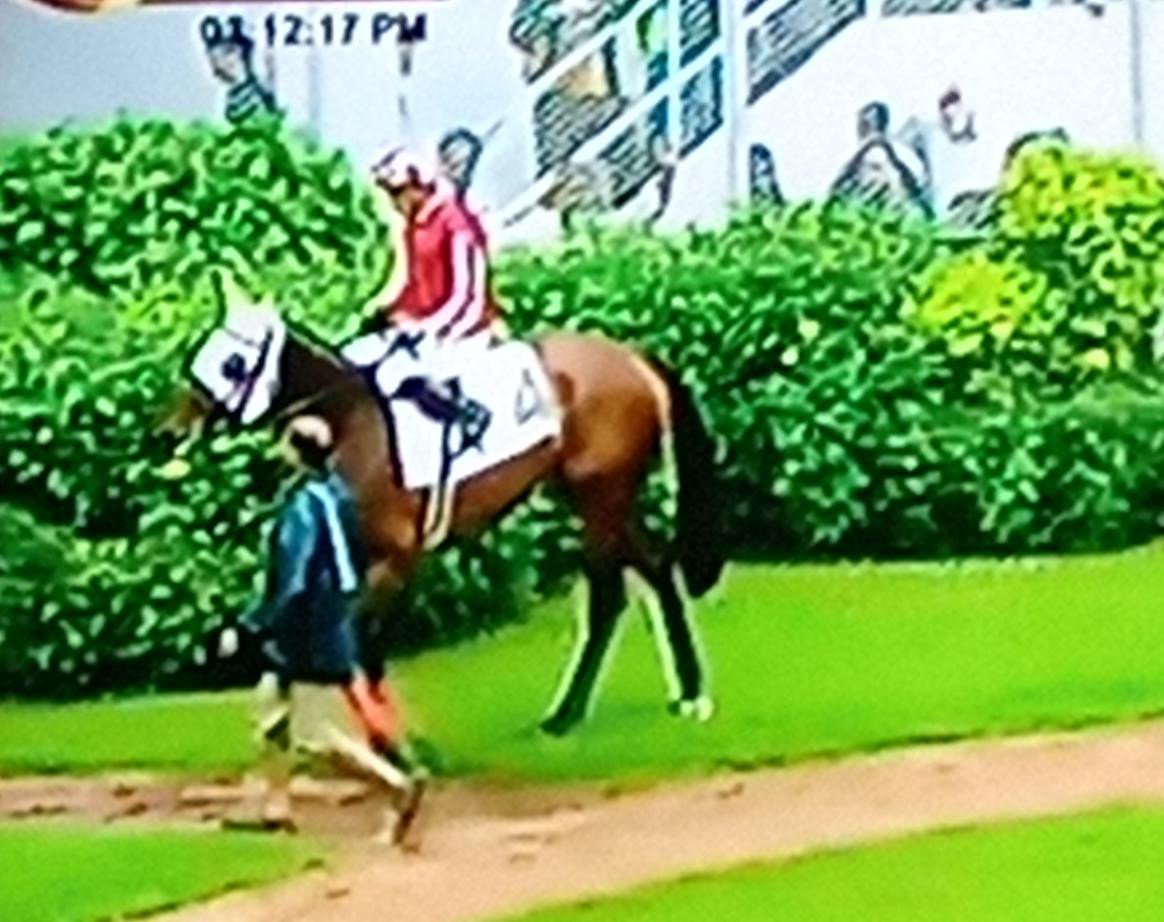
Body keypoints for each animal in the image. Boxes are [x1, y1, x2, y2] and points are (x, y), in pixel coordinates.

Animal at [159, 279, 726, 736]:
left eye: (231, 363)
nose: (169, 428)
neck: (353, 420)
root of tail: (632, 357)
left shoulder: (396, 559)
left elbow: (363, 643)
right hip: (597, 495)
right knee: (656, 567)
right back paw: (689, 692)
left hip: (600, 497)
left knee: (609, 597)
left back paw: (566, 715)